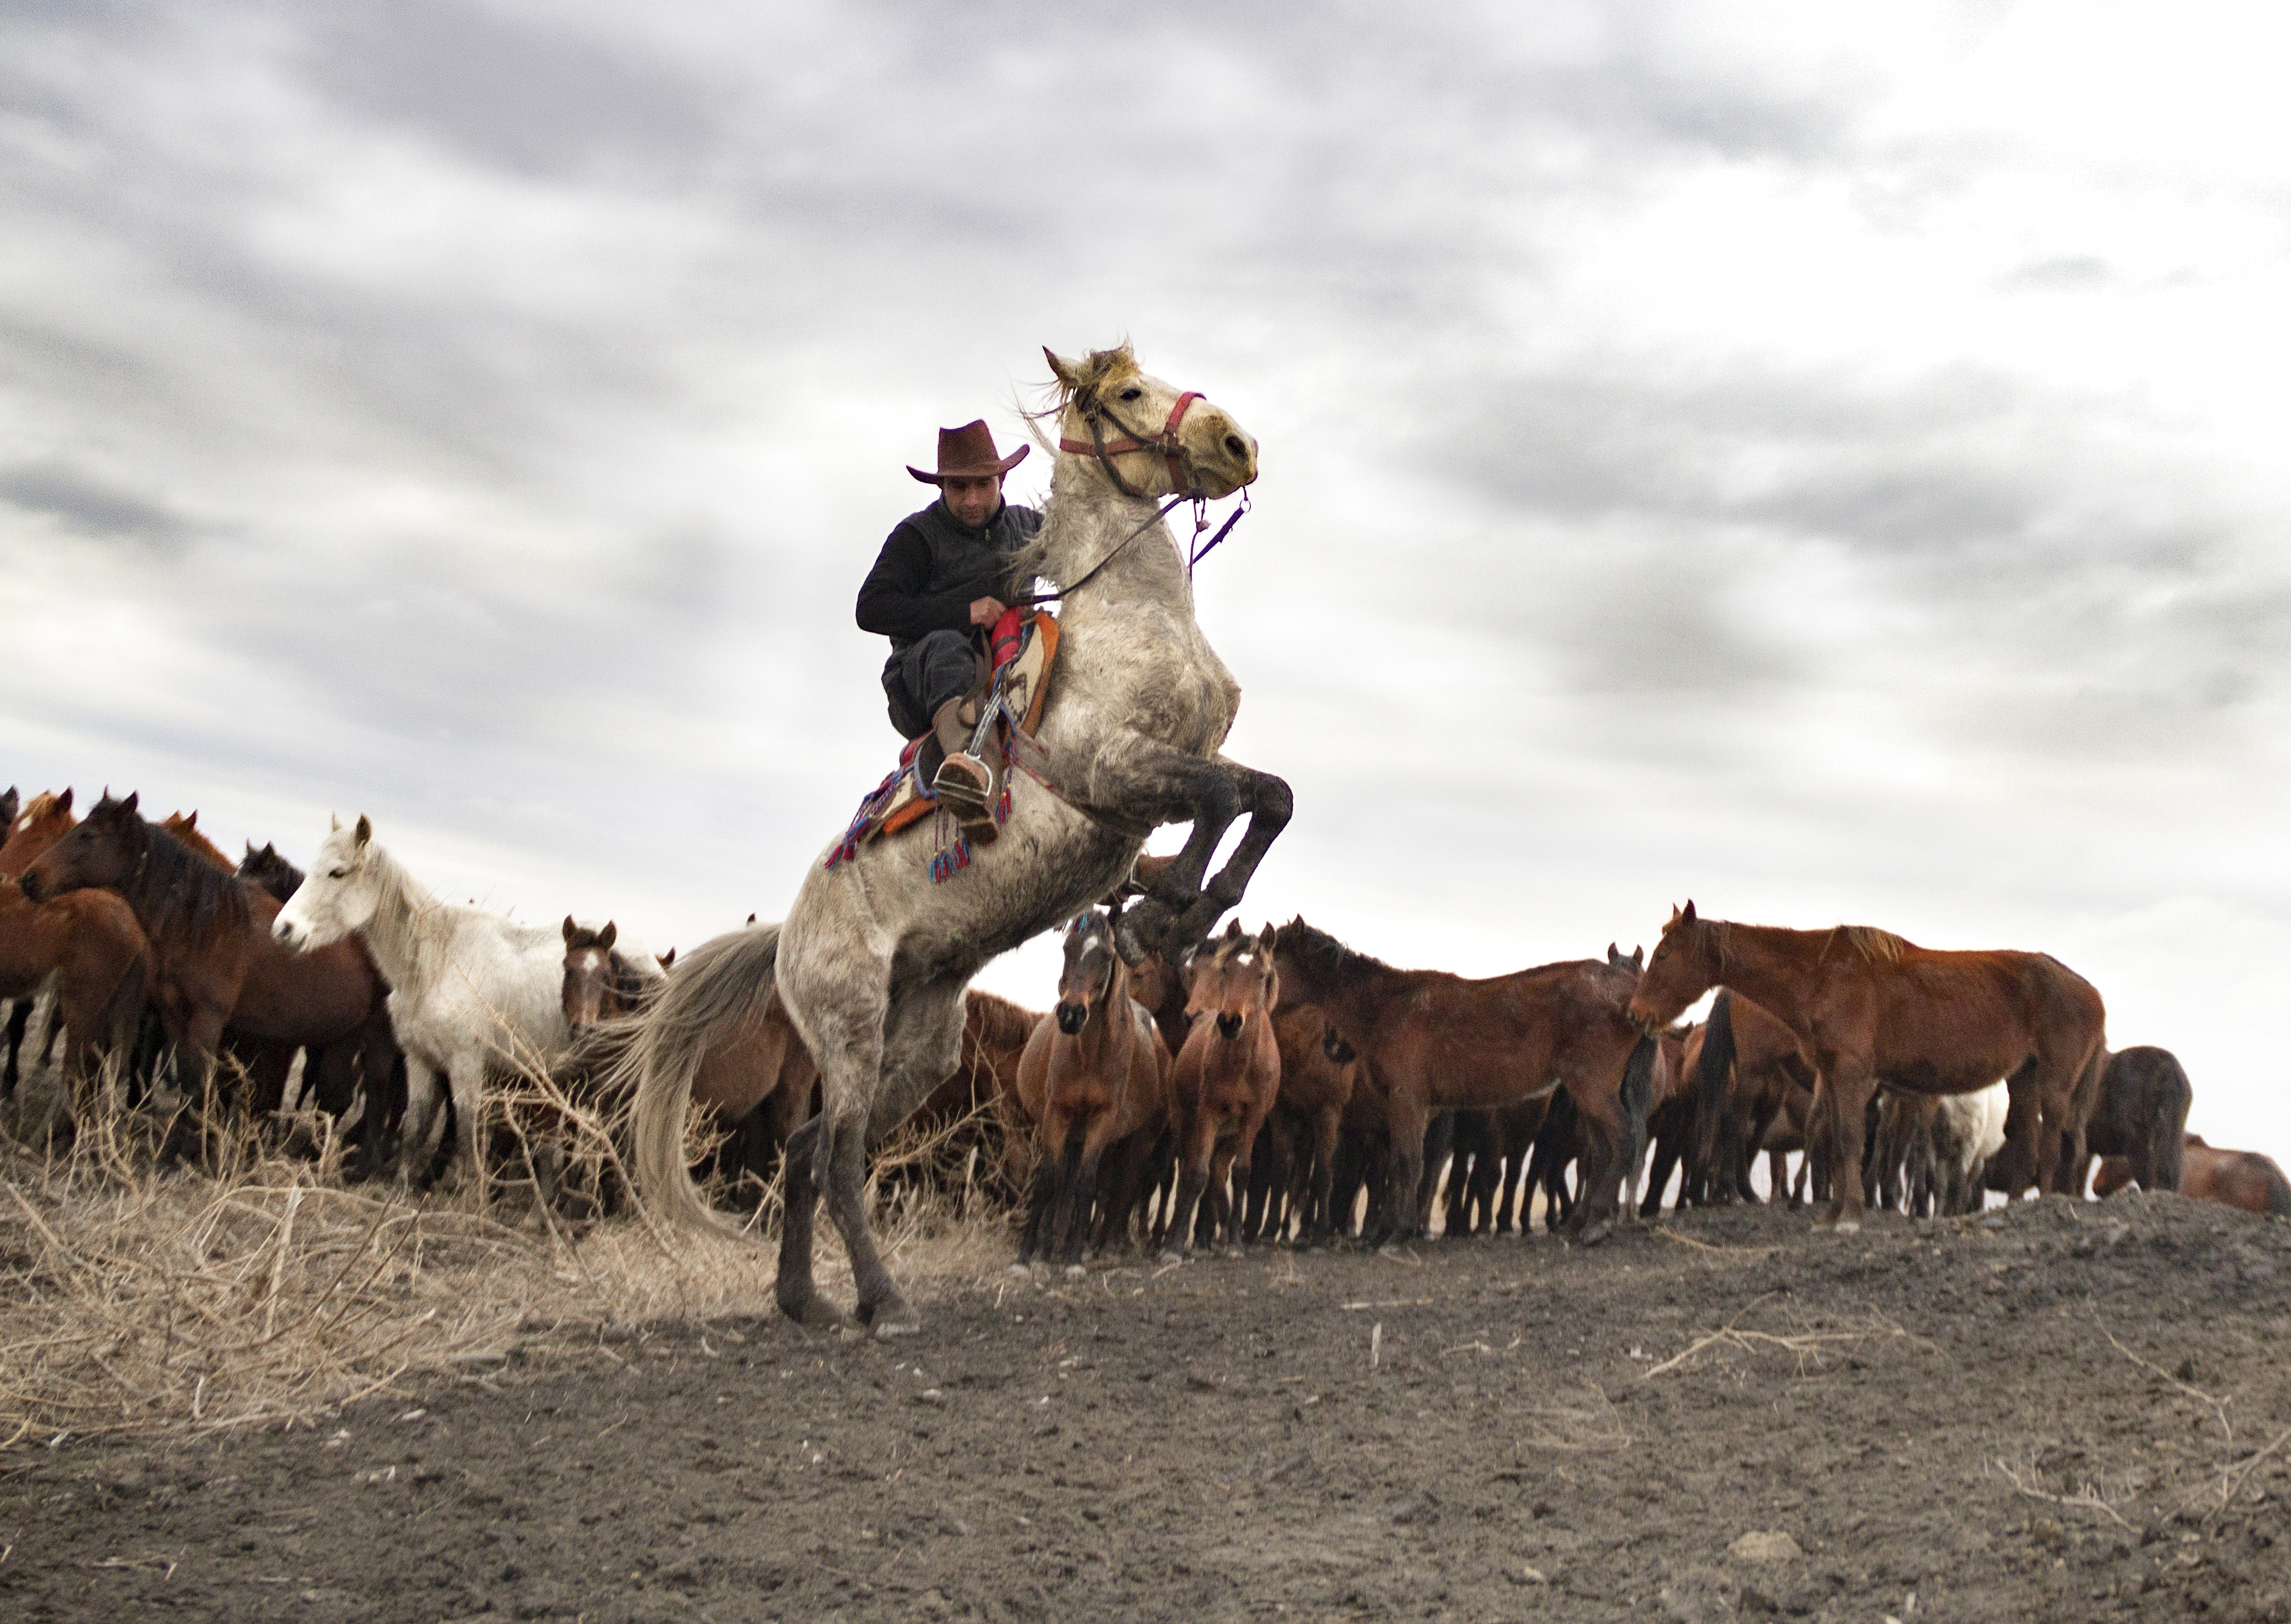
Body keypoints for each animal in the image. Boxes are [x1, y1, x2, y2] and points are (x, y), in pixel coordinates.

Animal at [270, 815, 574, 1193]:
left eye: (337, 872)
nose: (283, 930)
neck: (439, 963)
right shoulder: (420, 1059)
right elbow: (415, 1127)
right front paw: (400, 1190)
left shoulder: (466, 1066)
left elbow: (467, 1135)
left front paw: (471, 1198)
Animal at [1012, 909, 1172, 1270]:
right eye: (1067, 948)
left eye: (1108, 956)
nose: (1071, 1014)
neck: (1089, 1055)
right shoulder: (1056, 1114)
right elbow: (1048, 1181)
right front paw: (1026, 1254)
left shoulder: (1103, 1120)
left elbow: (1087, 1185)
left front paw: (1074, 1258)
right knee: (1064, 1182)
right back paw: (1049, 1245)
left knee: (1117, 1185)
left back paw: (1094, 1244)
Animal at [1269, 918, 1658, 1243]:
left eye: (1267, 957)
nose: (1332, 1046)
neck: (1389, 1007)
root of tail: (1633, 995)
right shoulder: (1416, 1107)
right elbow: (1405, 1166)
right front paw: (1388, 1229)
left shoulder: (1408, 1099)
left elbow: (1408, 1164)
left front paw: (1398, 1233)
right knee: (1603, 1151)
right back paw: (1580, 1222)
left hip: (1592, 1088)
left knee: (1623, 1139)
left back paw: (1595, 1225)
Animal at [1630, 902, 2107, 1232]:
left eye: (1664, 955)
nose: (1636, 1013)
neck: (1821, 974)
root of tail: (2091, 992)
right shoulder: (1833, 1076)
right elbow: (1841, 1140)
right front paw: (1834, 1213)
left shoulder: (1852, 1074)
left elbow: (1850, 1140)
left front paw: (1851, 1214)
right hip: (2024, 1079)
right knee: (2027, 1142)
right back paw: (2013, 1207)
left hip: (2055, 1083)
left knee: (2052, 1142)